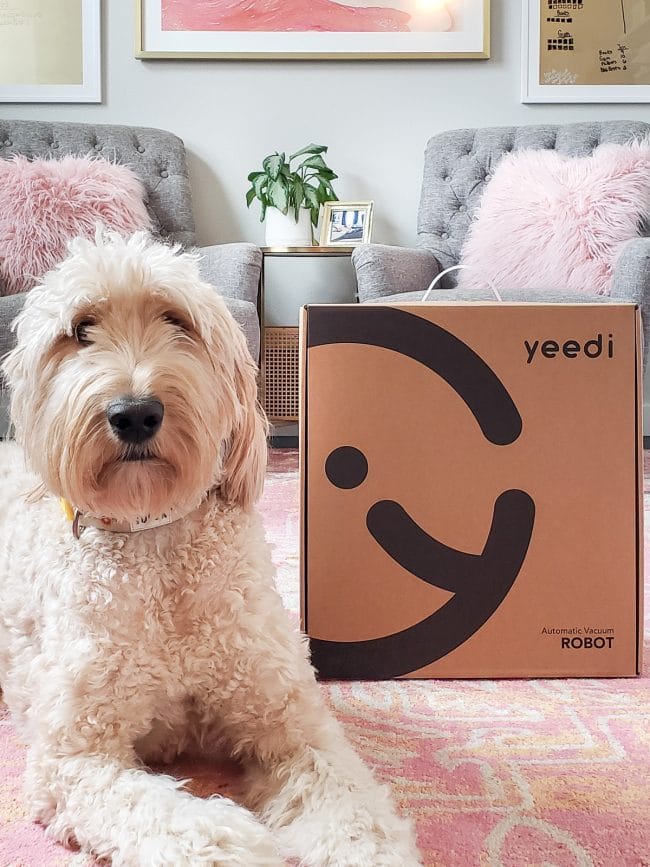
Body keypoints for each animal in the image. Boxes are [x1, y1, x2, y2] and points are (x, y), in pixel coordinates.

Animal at [0, 232, 420, 867]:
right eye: (80, 330)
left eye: (177, 321)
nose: (135, 413)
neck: (156, 543)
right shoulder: (77, 756)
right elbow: (172, 820)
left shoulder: (292, 725)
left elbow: (352, 808)